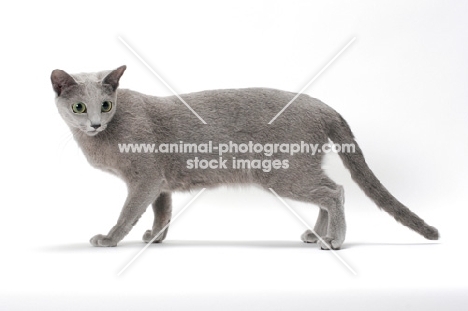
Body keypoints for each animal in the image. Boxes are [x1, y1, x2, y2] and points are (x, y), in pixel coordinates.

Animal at [51, 66, 438, 251]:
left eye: (105, 105)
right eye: (79, 107)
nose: (95, 122)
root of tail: (322, 105)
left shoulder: (144, 179)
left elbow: (128, 213)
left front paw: (110, 238)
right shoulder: (160, 183)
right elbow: (163, 212)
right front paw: (155, 238)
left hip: (284, 172)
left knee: (335, 192)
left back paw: (334, 240)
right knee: (328, 192)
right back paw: (316, 234)